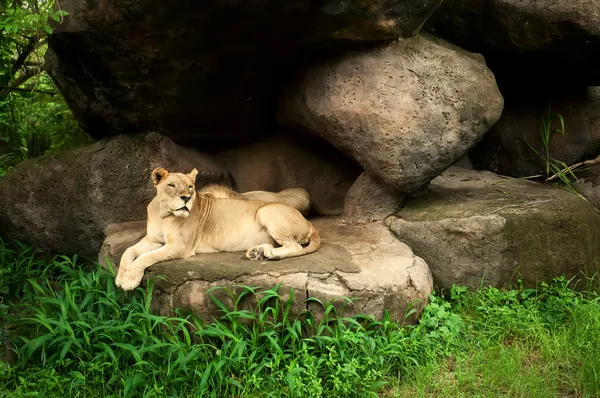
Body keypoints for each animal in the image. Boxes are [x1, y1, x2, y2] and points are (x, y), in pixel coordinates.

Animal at [113, 166, 318, 290]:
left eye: (190, 187)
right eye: (171, 185)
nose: (186, 198)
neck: (164, 214)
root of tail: (309, 223)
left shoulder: (180, 246)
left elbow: (146, 257)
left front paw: (129, 280)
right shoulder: (153, 239)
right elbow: (128, 252)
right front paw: (120, 277)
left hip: (265, 211)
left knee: (294, 246)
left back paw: (271, 254)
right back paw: (258, 253)